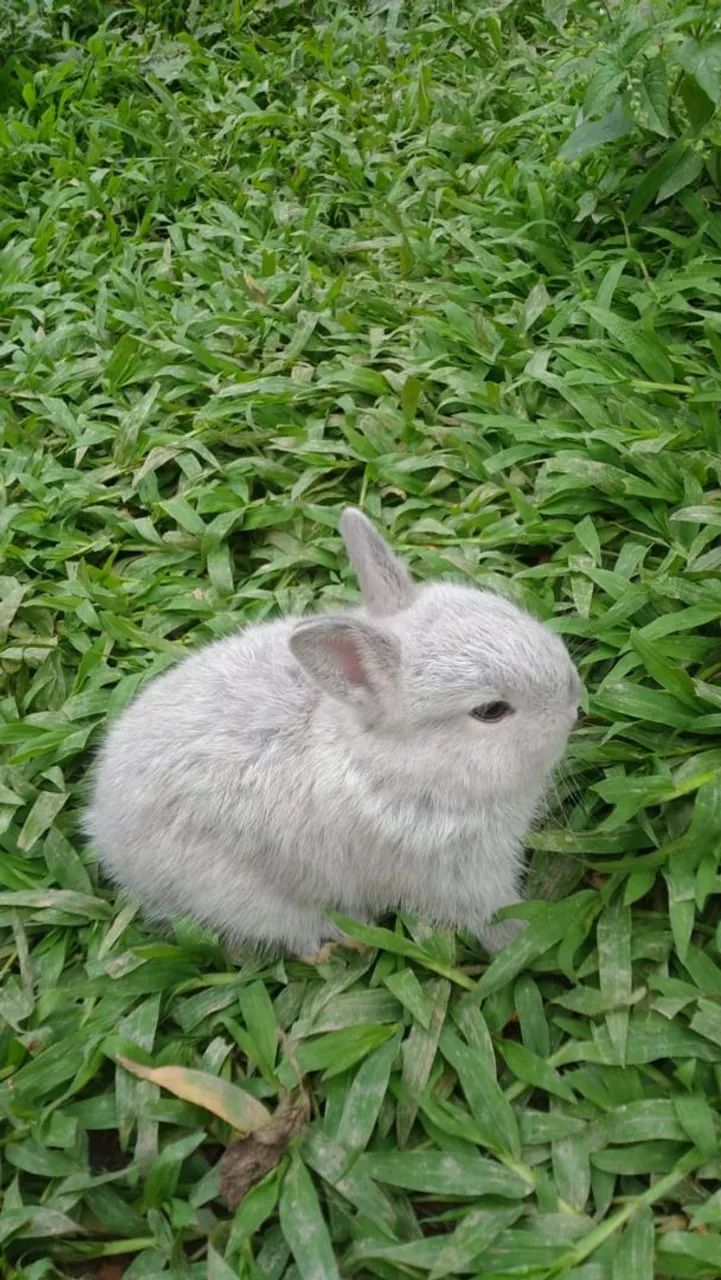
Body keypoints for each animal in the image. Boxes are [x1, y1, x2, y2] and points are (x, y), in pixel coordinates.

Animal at [84, 508, 581, 958]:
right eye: (490, 711)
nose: (575, 699)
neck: (388, 765)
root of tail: (104, 829)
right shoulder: (459, 876)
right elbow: (494, 915)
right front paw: (521, 942)